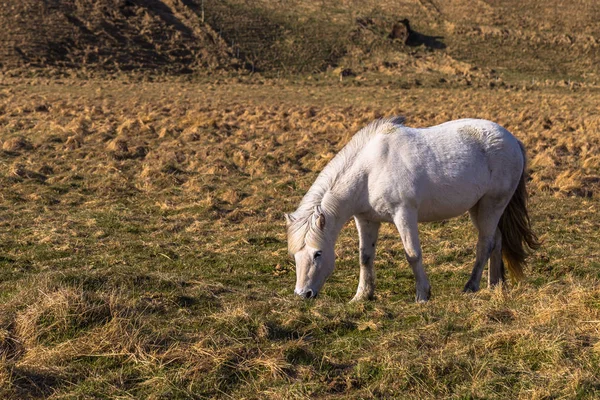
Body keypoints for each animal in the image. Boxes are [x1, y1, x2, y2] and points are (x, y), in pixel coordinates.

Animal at [284, 117, 540, 302]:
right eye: (295, 255)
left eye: (318, 253)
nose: (303, 295)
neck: (370, 170)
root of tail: (512, 140)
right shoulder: (366, 220)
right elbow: (365, 256)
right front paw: (362, 296)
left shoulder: (403, 215)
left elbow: (413, 254)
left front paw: (422, 295)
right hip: (479, 208)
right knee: (496, 241)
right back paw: (494, 285)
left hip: (491, 205)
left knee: (485, 244)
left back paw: (471, 286)